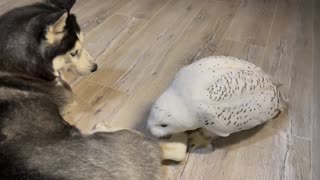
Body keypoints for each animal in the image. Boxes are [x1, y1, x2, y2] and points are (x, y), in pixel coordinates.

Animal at [0, 0, 186, 179]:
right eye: (74, 52)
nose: (95, 67)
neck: (16, 67)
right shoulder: (67, 96)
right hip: (125, 139)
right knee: (173, 149)